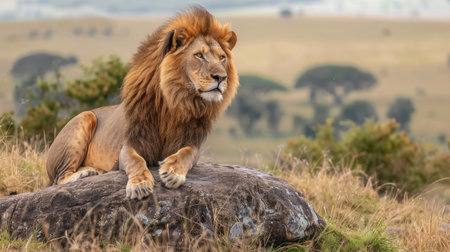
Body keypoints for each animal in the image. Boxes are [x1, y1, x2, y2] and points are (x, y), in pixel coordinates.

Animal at [46, 6, 239, 200]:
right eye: (199, 55)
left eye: (222, 57)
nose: (221, 77)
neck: (175, 102)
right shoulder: (131, 143)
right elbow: (136, 161)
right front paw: (139, 185)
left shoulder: (192, 143)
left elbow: (186, 154)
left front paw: (173, 172)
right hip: (85, 118)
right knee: (59, 179)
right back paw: (86, 173)